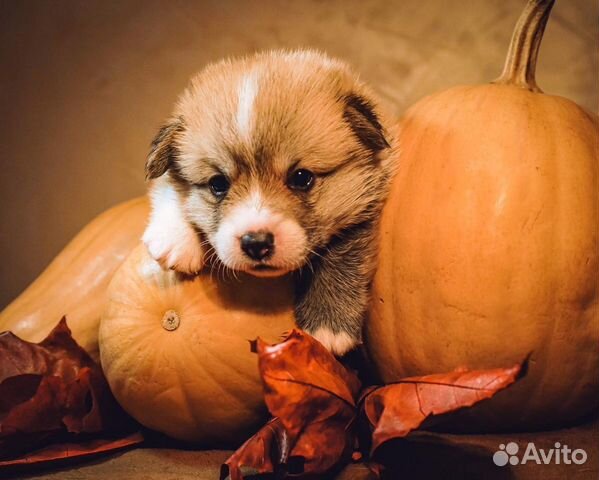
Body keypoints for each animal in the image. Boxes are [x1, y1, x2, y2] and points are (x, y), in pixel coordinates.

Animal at [142, 49, 398, 356]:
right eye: (218, 184)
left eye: (301, 178)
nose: (256, 244)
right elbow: (166, 184)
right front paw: (175, 238)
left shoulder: (366, 202)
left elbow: (343, 252)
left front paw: (327, 327)